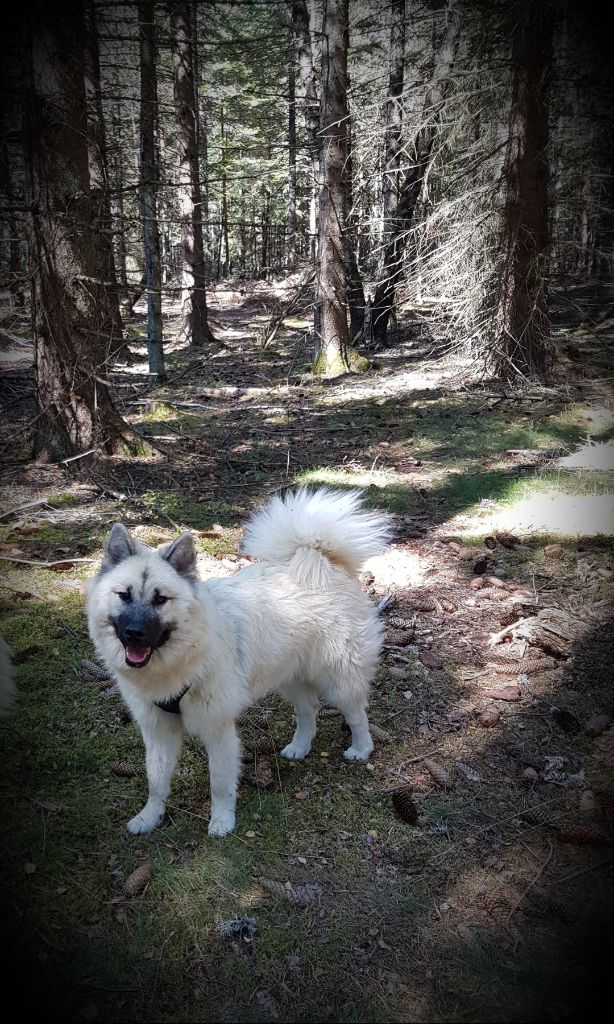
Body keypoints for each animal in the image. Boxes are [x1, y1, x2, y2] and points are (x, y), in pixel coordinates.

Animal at [86, 488, 390, 837]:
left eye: (160, 599)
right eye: (124, 595)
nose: (134, 633)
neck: (182, 659)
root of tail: (321, 559)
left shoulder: (218, 729)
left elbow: (219, 782)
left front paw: (221, 821)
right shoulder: (158, 729)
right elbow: (156, 781)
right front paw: (150, 816)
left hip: (337, 677)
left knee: (356, 713)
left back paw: (361, 749)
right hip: (290, 676)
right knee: (308, 709)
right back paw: (299, 747)